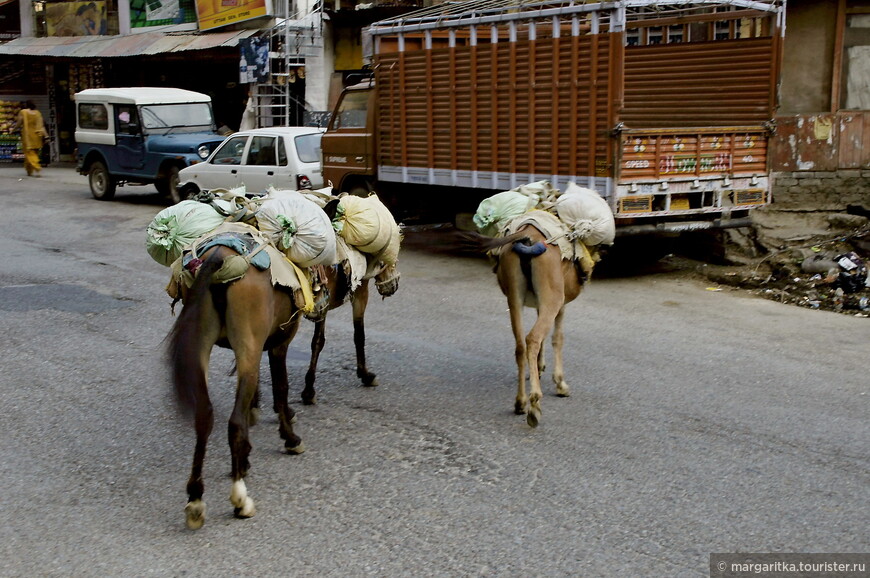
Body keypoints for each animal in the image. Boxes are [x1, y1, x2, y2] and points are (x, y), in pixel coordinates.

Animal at [168, 243, 306, 528]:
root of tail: (219, 257)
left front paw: (245, 458)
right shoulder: (279, 344)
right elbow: (281, 389)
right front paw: (290, 438)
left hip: (202, 343)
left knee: (204, 416)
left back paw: (195, 499)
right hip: (248, 345)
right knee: (235, 423)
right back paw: (240, 499)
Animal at [474, 223, 588, 426]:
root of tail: (528, 238)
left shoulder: (538, 303)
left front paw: (539, 367)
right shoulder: (560, 304)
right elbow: (557, 338)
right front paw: (560, 383)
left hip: (514, 298)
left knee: (520, 346)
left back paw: (520, 402)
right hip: (552, 299)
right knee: (533, 338)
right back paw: (534, 403)